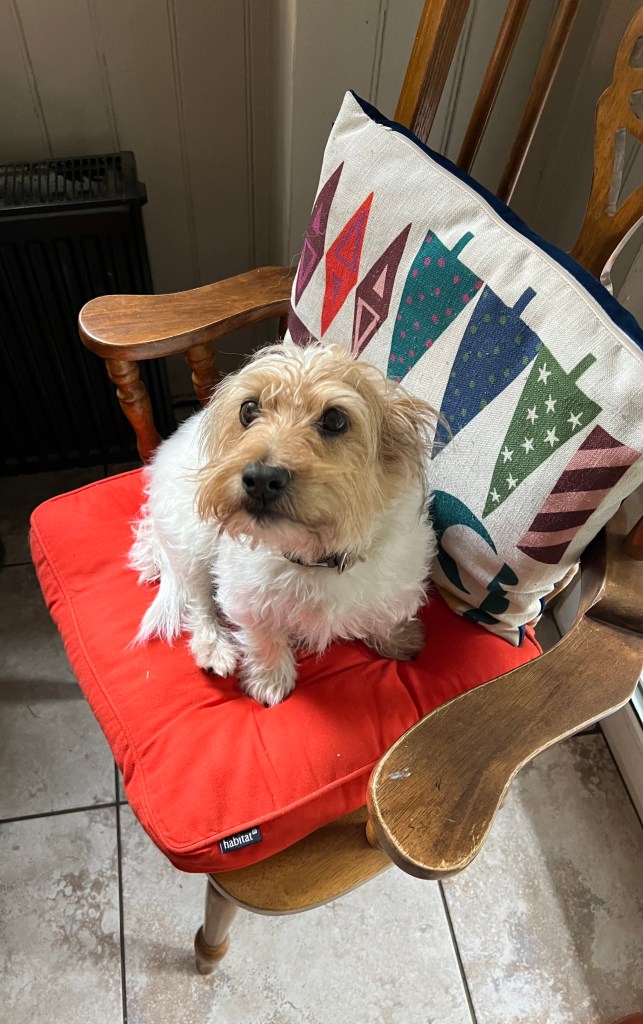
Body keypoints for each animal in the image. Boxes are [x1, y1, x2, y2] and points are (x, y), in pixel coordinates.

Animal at [130, 341, 438, 706]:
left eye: (335, 419)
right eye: (248, 409)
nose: (260, 478)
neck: (316, 556)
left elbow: (387, 615)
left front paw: (398, 638)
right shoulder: (245, 597)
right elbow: (265, 637)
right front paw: (270, 679)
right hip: (193, 538)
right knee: (198, 599)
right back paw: (213, 647)